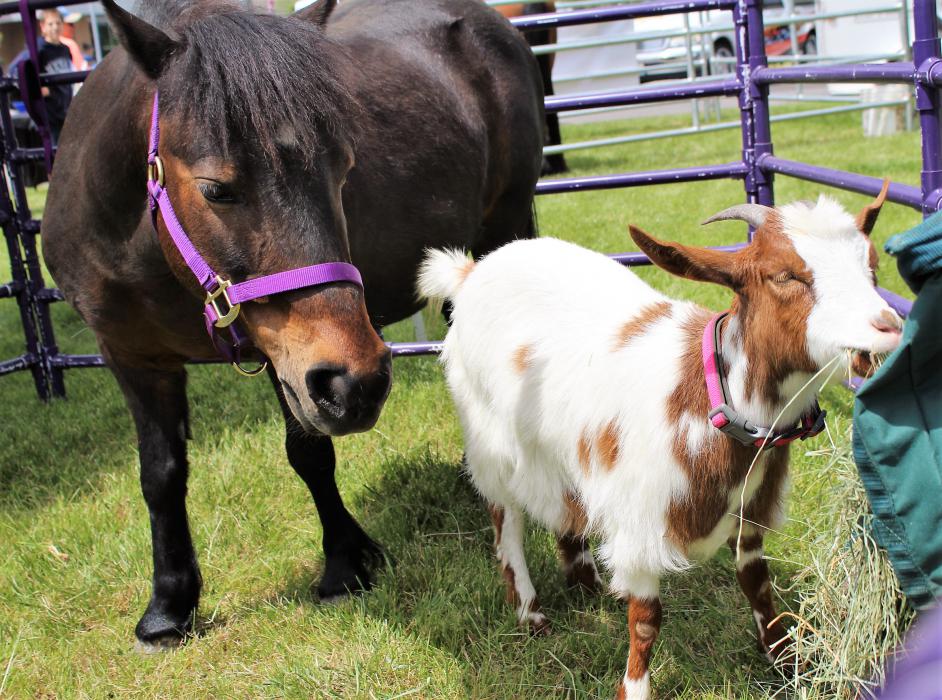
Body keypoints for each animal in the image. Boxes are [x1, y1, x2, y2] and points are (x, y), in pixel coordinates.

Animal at [41, 0, 543, 649]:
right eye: (216, 188)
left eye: (344, 169)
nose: (361, 382)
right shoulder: (132, 356)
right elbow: (160, 474)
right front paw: (168, 606)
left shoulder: (292, 359)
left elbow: (308, 454)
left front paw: (344, 565)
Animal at [417, 185, 902, 699]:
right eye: (783, 275)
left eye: (872, 266)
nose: (888, 325)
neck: (708, 395)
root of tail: (471, 272)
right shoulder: (642, 519)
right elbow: (647, 619)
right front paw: (634, 688)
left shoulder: (752, 508)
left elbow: (757, 582)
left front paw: (786, 659)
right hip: (489, 440)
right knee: (505, 522)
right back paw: (530, 612)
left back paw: (586, 581)